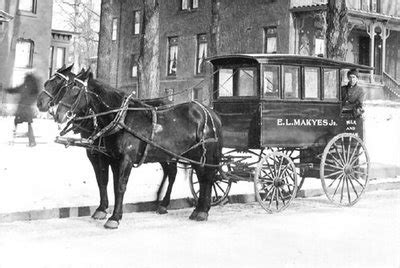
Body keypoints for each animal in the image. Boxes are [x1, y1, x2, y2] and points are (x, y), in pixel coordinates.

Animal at [37, 67, 184, 218]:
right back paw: (159, 199)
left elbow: (107, 180)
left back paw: (164, 203)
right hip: (160, 153)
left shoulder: (104, 156)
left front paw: (106, 209)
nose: (40, 103)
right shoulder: (99, 154)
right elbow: (103, 181)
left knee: (172, 173)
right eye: (48, 82)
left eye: (58, 84)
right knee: (167, 171)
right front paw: (104, 208)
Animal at [54, 71, 222, 228]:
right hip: (186, 155)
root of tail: (211, 113)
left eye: (75, 91)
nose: (58, 114)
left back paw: (201, 211)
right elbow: (110, 184)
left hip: (203, 154)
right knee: (197, 177)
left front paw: (114, 218)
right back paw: (193, 209)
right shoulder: (113, 159)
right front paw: (109, 212)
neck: (122, 118)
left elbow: (120, 186)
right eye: (65, 89)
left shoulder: (125, 159)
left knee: (206, 178)